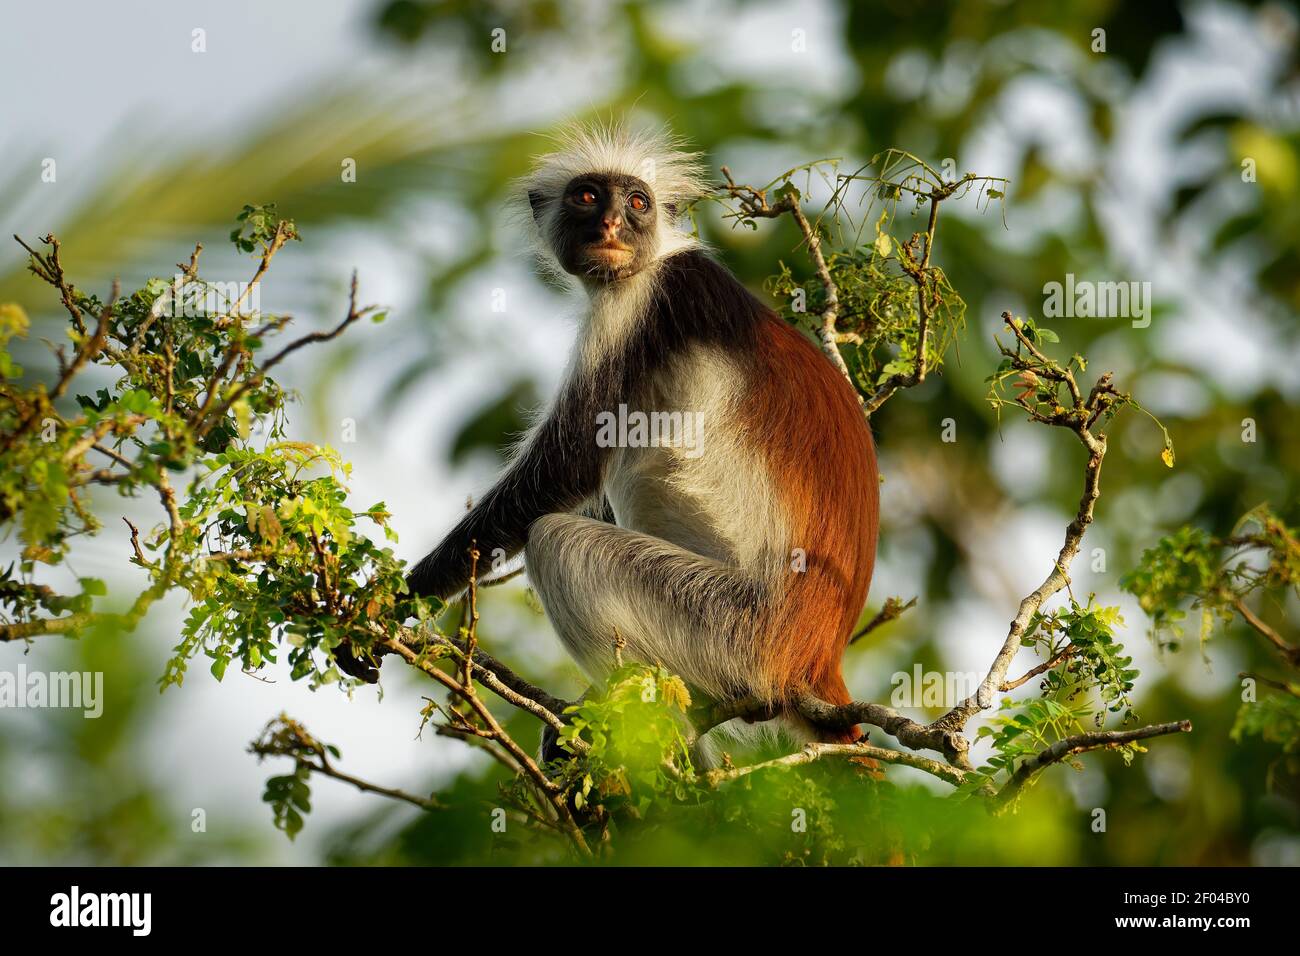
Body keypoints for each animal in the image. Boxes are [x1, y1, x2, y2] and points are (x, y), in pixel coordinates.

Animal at [392, 125, 873, 754]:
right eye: (588, 197)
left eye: (638, 203)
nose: (612, 227)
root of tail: (816, 657)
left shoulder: (635, 305)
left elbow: (566, 467)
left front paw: (401, 596)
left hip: (731, 625)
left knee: (559, 540)